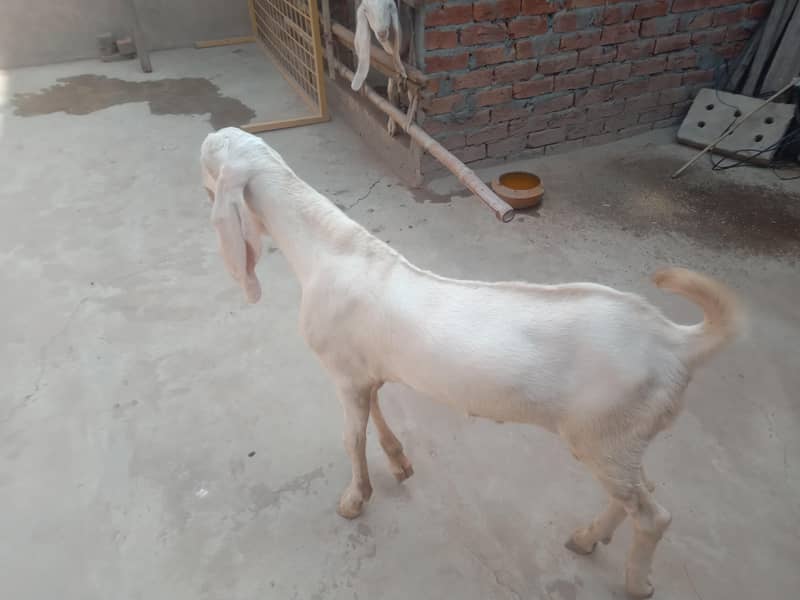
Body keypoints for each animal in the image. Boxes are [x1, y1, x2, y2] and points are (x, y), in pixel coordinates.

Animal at [200, 127, 742, 599]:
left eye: (208, 159)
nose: (199, 177)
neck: (327, 253)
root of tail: (676, 341)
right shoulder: (362, 371)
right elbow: (376, 412)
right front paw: (399, 463)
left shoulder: (341, 373)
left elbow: (352, 438)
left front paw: (354, 500)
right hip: (620, 438)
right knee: (638, 490)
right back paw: (587, 538)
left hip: (604, 435)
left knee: (653, 515)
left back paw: (635, 583)